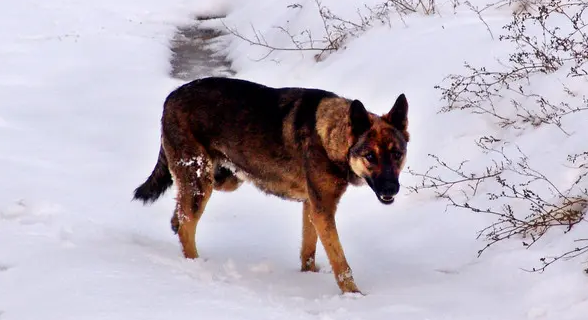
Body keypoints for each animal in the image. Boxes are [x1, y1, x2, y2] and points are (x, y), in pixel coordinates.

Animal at [133, 76, 408, 294]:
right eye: (370, 156)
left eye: (397, 155)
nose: (391, 190)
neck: (331, 136)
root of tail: (171, 97)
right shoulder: (323, 210)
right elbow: (341, 262)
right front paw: (354, 296)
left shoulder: (312, 207)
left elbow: (308, 250)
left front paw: (308, 278)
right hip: (202, 180)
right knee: (186, 226)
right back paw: (196, 267)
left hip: (223, 178)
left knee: (179, 215)